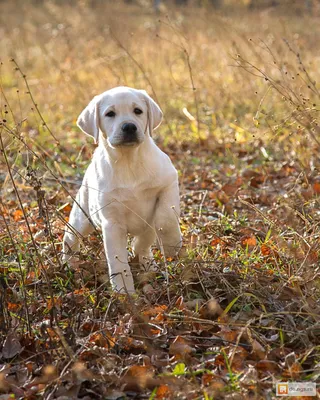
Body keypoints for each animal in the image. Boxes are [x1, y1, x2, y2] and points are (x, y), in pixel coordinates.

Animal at [62, 86, 181, 294]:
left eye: (138, 111)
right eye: (110, 114)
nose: (129, 127)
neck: (128, 160)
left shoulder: (169, 182)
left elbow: (166, 217)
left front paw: (171, 244)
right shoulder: (112, 223)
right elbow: (118, 262)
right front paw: (125, 292)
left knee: (144, 241)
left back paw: (149, 264)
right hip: (81, 218)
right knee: (69, 237)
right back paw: (69, 264)